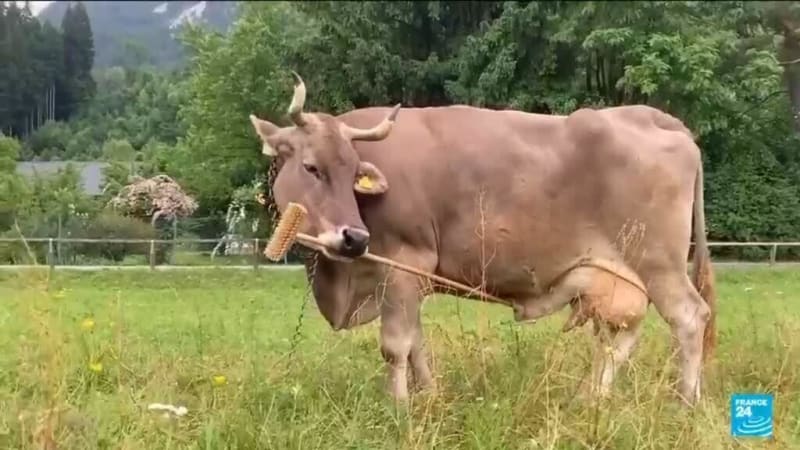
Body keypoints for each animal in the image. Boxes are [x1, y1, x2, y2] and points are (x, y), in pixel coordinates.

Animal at [249, 73, 717, 406]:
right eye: (311, 167)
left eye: (351, 173)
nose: (354, 238)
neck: (343, 281)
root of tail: (650, 115)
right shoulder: (404, 279)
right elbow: (417, 343)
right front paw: (429, 397)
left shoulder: (406, 264)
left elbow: (396, 346)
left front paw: (399, 410)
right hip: (622, 276)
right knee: (625, 334)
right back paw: (592, 397)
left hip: (658, 263)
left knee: (690, 317)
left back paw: (684, 403)